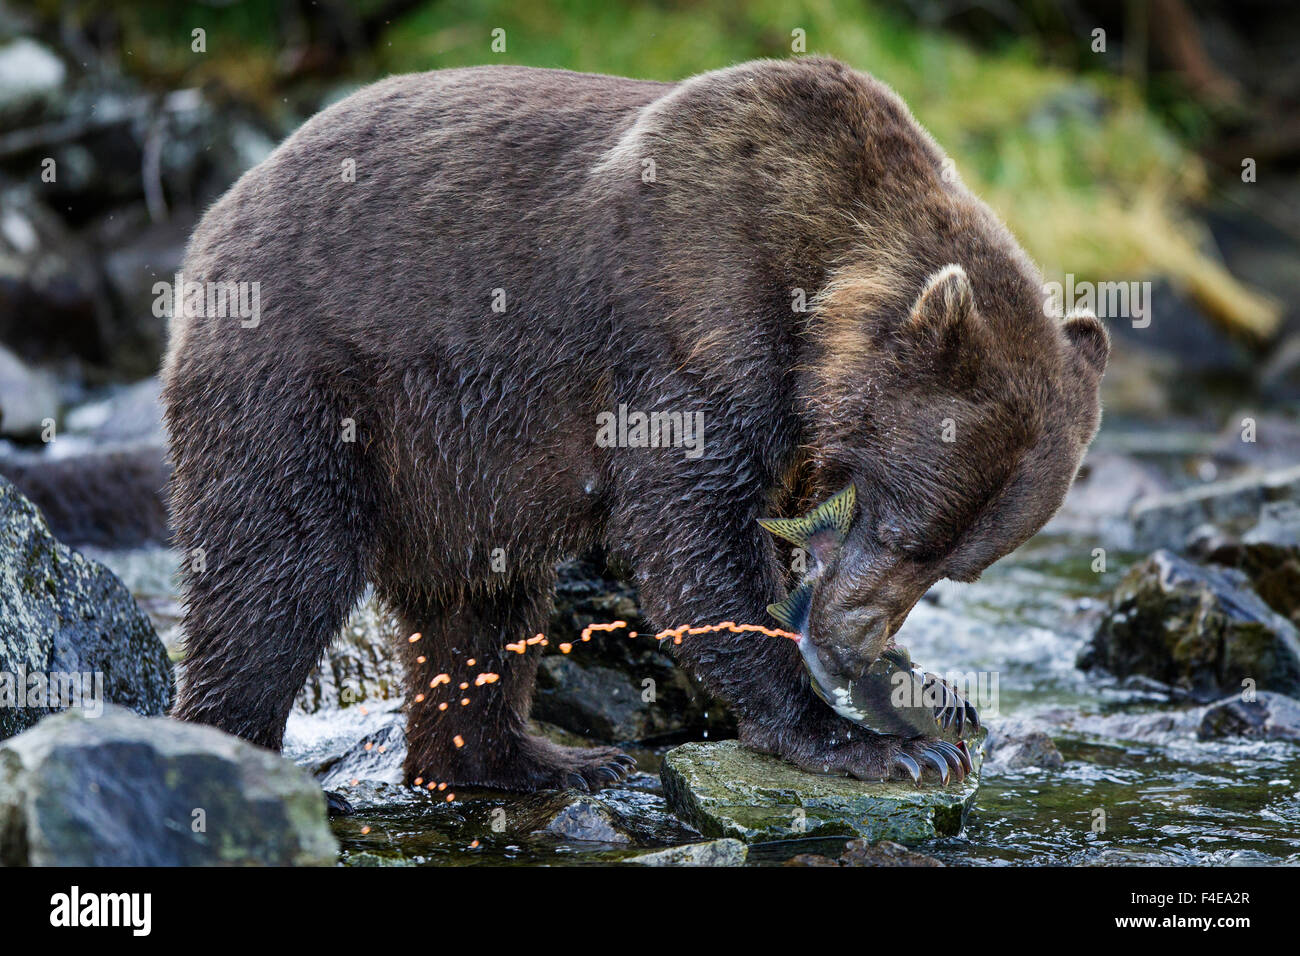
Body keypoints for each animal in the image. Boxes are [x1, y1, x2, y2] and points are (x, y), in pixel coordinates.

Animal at [163, 57, 1107, 796]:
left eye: (959, 568)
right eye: (905, 529)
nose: (847, 645)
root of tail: (218, 214)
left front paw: (934, 700)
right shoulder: (694, 332)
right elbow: (697, 543)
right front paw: (868, 743)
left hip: (456, 470)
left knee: (479, 606)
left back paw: (531, 760)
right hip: (316, 387)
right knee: (277, 575)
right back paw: (235, 744)